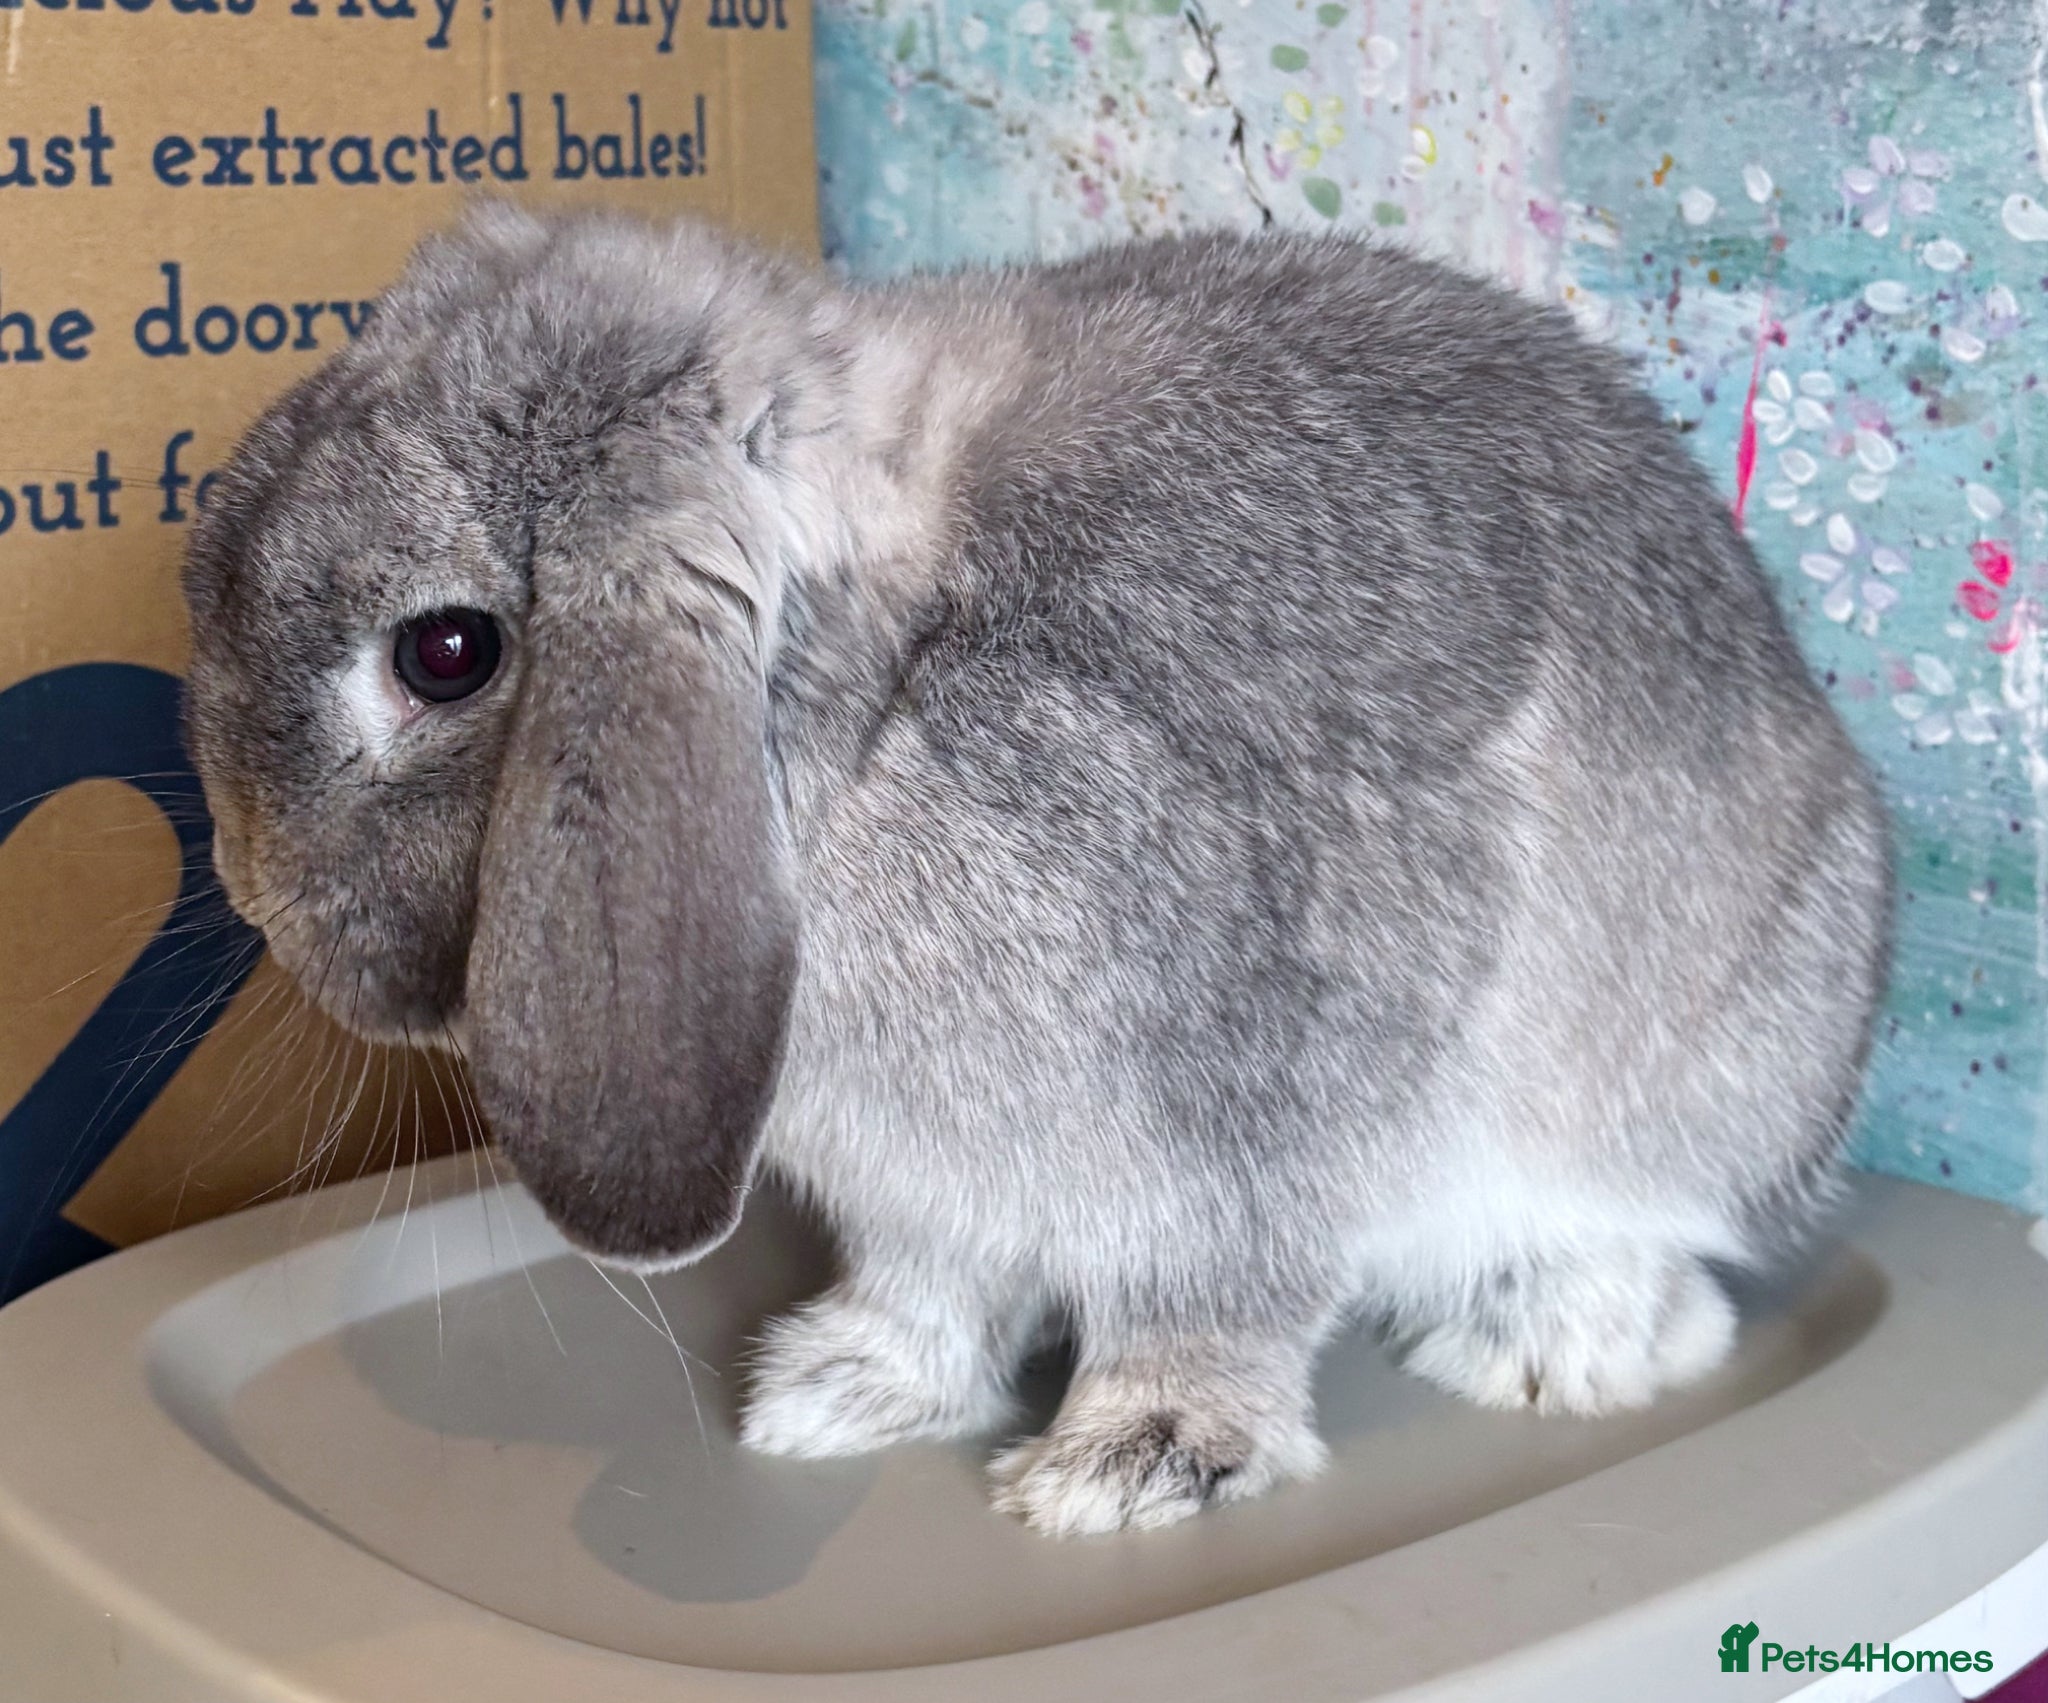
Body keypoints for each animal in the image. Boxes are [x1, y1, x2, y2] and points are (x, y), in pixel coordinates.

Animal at [180, 202, 1891, 1538]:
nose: (257, 897)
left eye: (446, 653)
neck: (873, 705)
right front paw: (833, 1390)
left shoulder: (1242, 1127)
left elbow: (1214, 1299)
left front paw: (1126, 1467)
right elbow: (932, 1290)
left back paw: (1550, 1346)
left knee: (1651, 1247)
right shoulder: (925, 1194)